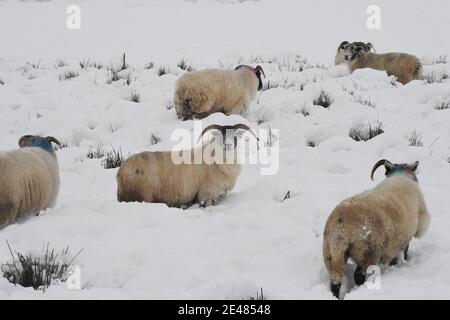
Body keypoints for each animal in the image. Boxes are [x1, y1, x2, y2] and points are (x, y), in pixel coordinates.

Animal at [116, 122, 258, 208]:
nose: (228, 145)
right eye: (221, 135)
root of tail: (121, 171)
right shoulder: (206, 192)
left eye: (235, 136)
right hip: (143, 195)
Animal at [324, 160, 428, 300]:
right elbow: (403, 253)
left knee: (335, 281)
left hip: (332, 253)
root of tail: (342, 223)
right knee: (359, 276)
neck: (402, 176)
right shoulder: (404, 238)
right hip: (366, 252)